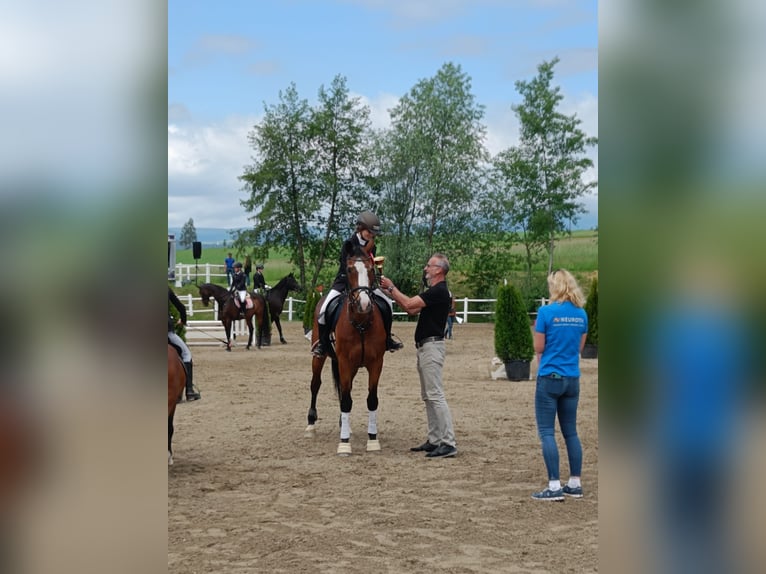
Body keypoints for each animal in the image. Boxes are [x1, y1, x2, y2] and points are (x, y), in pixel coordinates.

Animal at [305, 249, 388, 455]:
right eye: (349, 270)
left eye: (371, 269)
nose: (364, 304)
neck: (361, 323)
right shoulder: (344, 362)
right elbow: (346, 401)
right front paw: (344, 444)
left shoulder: (376, 363)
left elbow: (371, 399)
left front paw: (372, 440)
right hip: (319, 358)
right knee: (315, 384)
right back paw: (310, 424)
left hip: (354, 367)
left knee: (343, 390)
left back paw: (344, 425)